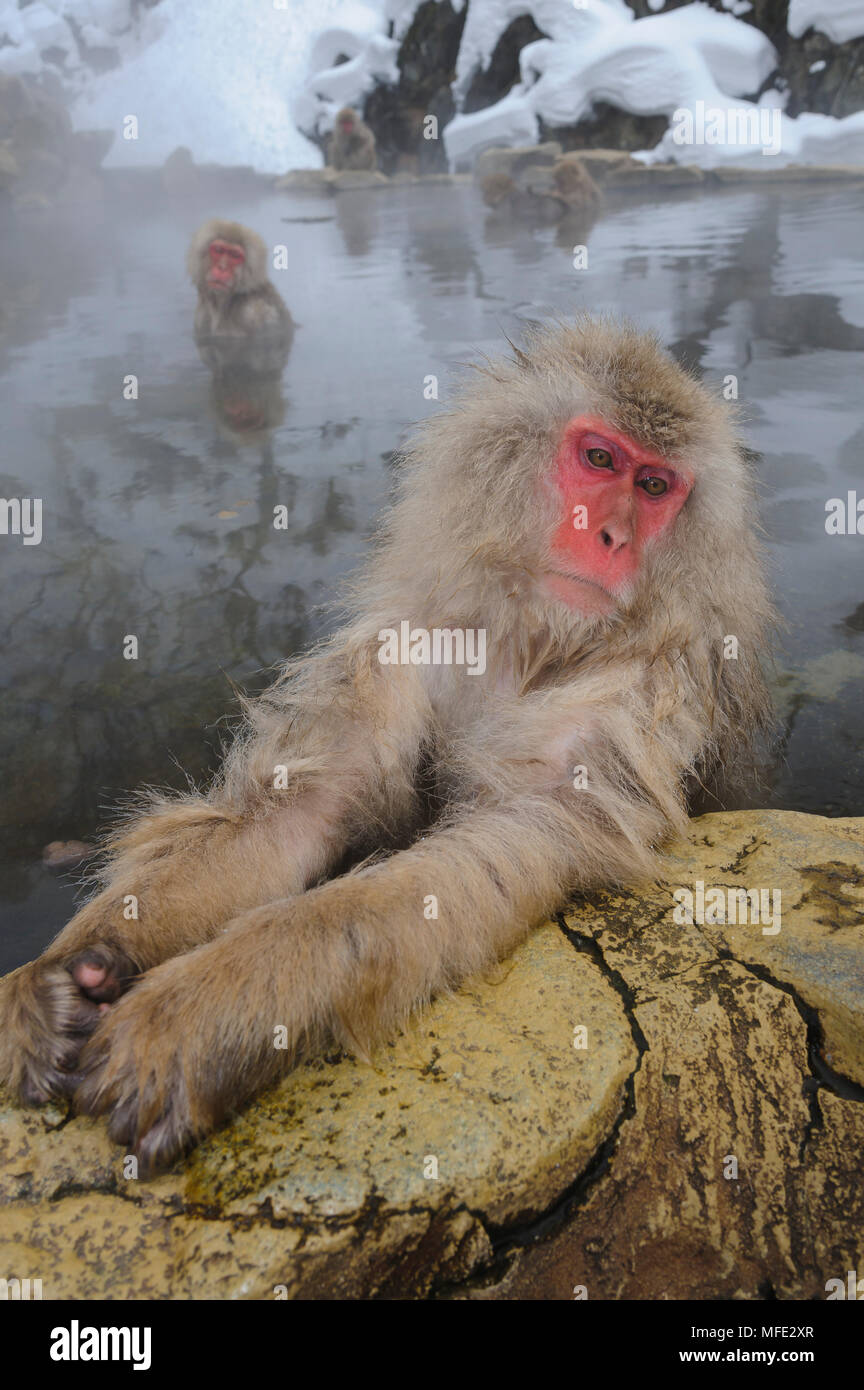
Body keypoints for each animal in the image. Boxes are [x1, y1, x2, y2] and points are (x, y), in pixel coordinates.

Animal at [0, 318, 777, 1173]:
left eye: (655, 488)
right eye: (600, 459)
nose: (610, 536)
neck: (536, 642)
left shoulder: (641, 695)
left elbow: (515, 841)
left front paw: (213, 1005)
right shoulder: (409, 644)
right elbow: (305, 807)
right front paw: (70, 966)